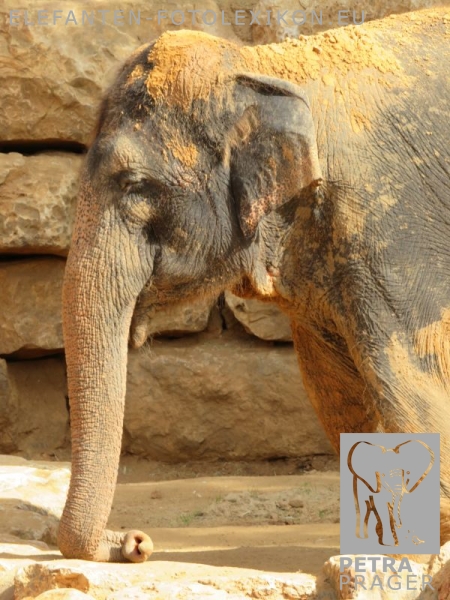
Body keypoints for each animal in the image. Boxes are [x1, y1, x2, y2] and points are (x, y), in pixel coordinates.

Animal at [57, 7, 450, 562]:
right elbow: (334, 388)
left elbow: (412, 378)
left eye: (134, 186)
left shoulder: (387, 222)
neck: (262, 65)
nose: (136, 541)